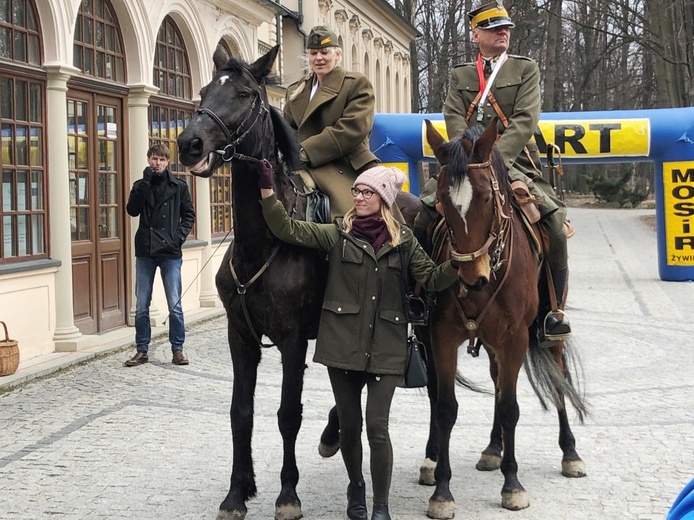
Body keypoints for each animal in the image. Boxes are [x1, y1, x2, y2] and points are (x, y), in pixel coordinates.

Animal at [177, 45, 422, 520]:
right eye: (203, 90)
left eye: (244, 94)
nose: (188, 143)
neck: (263, 241)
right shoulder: (240, 337)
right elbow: (241, 412)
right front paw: (238, 492)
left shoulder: (291, 339)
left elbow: (288, 414)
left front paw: (287, 493)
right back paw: (333, 434)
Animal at [422, 120, 588, 516]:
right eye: (443, 200)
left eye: (485, 197)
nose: (471, 277)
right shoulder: (442, 338)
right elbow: (447, 407)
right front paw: (442, 491)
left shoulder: (515, 338)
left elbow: (511, 408)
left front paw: (512, 485)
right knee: (498, 382)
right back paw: (492, 448)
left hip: (546, 329)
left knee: (557, 375)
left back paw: (570, 453)